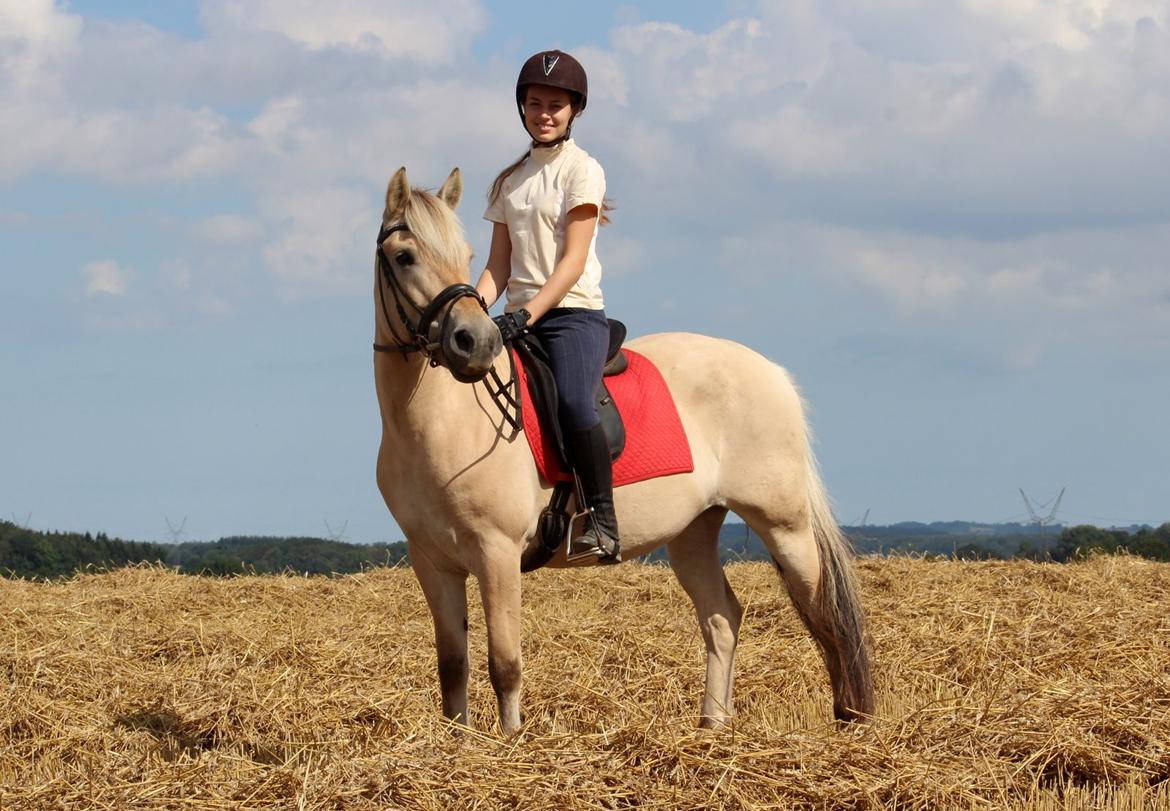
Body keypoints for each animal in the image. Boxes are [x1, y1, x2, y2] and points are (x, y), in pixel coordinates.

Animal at [369, 165, 875, 734]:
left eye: (466, 255)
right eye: (405, 257)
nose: (474, 342)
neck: (444, 421)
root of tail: (772, 372)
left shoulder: (496, 552)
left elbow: (505, 661)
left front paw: (512, 741)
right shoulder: (432, 561)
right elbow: (453, 663)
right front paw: (461, 741)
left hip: (783, 524)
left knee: (825, 614)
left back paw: (848, 719)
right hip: (694, 531)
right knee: (722, 617)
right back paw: (712, 726)